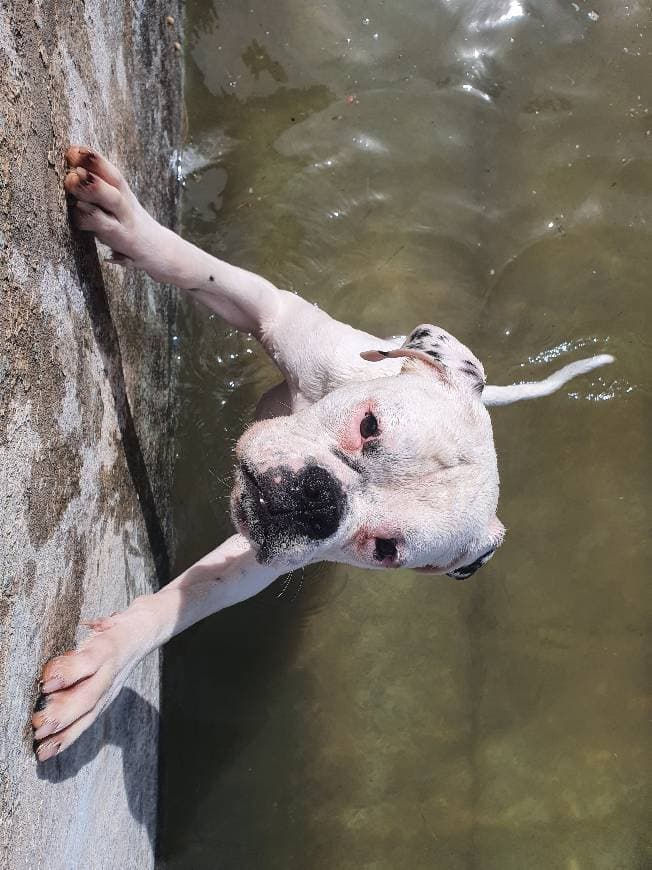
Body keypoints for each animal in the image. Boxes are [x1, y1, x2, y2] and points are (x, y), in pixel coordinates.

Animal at [30, 150, 612, 764]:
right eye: (369, 425)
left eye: (384, 549)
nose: (317, 502)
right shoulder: (278, 314)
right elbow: (199, 268)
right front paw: (126, 222)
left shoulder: (258, 558)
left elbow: (191, 599)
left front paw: (104, 669)